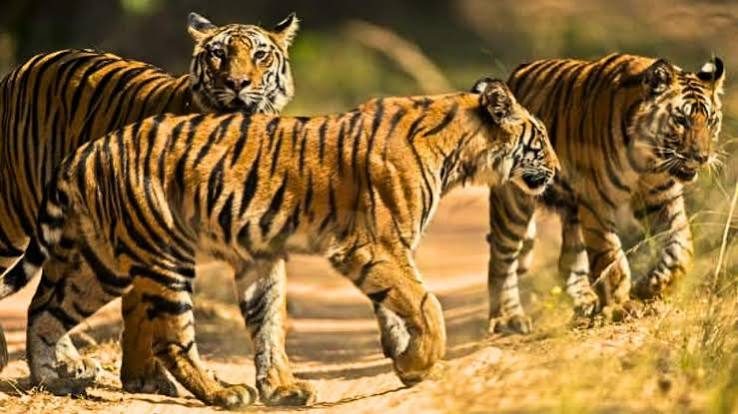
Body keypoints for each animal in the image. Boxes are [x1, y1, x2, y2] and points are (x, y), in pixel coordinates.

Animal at [0, 10, 299, 398]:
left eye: (260, 55)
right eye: (218, 54)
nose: (236, 82)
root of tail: (23, 66)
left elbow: (268, 315)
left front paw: (281, 385)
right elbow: (149, 311)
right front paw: (147, 378)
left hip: (71, 238)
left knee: (44, 300)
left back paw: (63, 367)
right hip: (12, 215)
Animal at [2, 79, 558, 408]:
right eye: (542, 138)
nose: (555, 169)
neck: (460, 153)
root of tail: (90, 148)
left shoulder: (386, 249)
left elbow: (396, 306)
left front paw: (405, 361)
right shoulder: (373, 245)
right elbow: (426, 303)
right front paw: (421, 362)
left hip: (102, 261)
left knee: (44, 309)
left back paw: (54, 381)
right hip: (163, 254)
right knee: (171, 338)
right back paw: (225, 392)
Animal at [486, 54, 725, 335]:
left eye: (711, 121)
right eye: (681, 120)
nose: (702, 157)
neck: (649, 159)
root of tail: (513, 76)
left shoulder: (662, 198)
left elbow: (682, 247)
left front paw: (650, 286)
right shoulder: (596, 202)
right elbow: (611, 257)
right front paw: (621, 305)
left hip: (572, 211)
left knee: (569, 261)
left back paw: (586, 303)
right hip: (514, 204)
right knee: (501, 261)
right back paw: (507, 319)